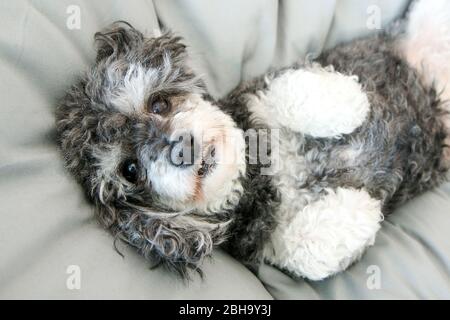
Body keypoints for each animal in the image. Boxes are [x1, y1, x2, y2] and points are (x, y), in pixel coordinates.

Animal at [55, 0, 450, 280]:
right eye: (130, 169)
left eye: (159, 104)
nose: (182, 149)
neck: (263, 175)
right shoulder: (269, 248)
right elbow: (308, 253)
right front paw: (360, 208)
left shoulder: (257, 97)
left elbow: (289, 89)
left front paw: (348, 103)